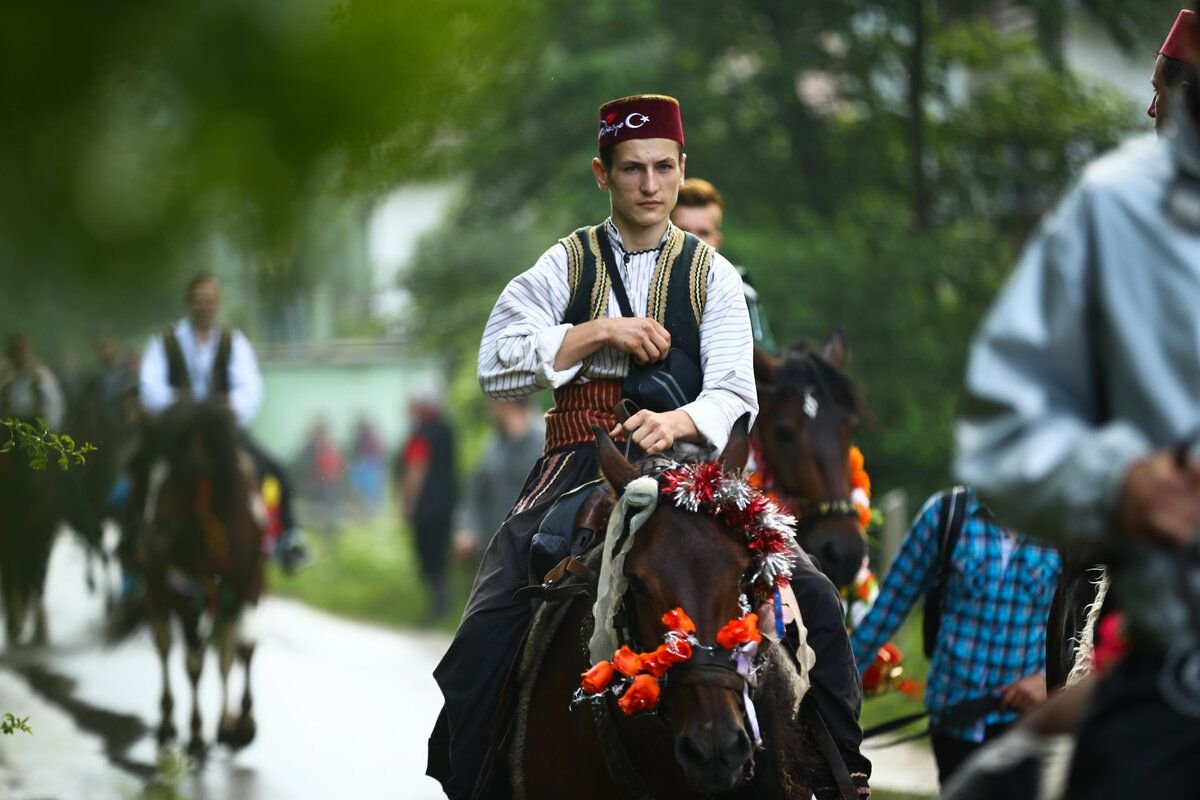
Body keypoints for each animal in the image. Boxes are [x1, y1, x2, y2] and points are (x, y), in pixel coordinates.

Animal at [130, 400, 264, 758]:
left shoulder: (249, 585)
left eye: (182, 475)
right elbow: (193, 663)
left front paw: (242, 725)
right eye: (140, 473)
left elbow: (244, 647)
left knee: (225, 653)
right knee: (165, 646)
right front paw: (196, 735)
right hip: (157, 591)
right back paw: (167, 723)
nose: (147, 545)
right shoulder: (184, 595)